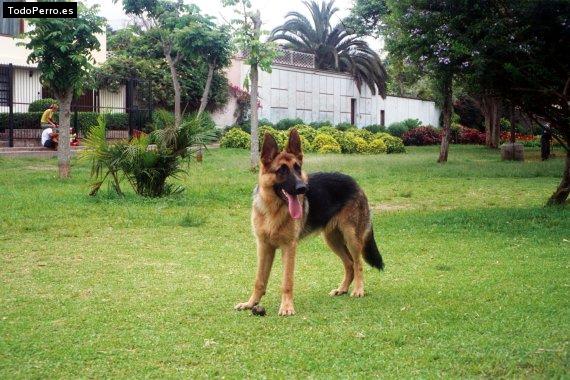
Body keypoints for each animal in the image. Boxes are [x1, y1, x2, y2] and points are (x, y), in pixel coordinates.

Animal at [233, 129, 384, 316]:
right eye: (282, 170)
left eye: (298, 168)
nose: (302, 188)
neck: (273, 210)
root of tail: (354, 182)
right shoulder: (264, 247)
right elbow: (259, 280)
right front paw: (251, 303)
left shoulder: (289, 248)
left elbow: (287, 281)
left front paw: (287, 307)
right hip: (332, 240)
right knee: (349, 264)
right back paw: (342, 289)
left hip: (351, 238)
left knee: (358, 263)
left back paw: (358, 290)